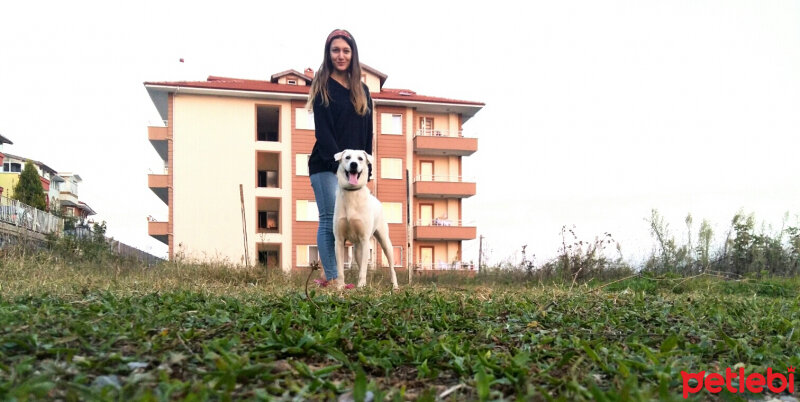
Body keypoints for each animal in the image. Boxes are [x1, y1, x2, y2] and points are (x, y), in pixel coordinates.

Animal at [332, 149, 396, 290]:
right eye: (347, 157)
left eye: (360, 158)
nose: (354, 164)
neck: (352, 193)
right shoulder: (339, 240)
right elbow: (340, 269)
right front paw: (340, 286)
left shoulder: (365, 240)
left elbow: (363, 270)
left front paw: (361, 286)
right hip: (357, 249)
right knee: (360, 262)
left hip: (384, 241)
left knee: (391, 267)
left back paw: (395, 286)